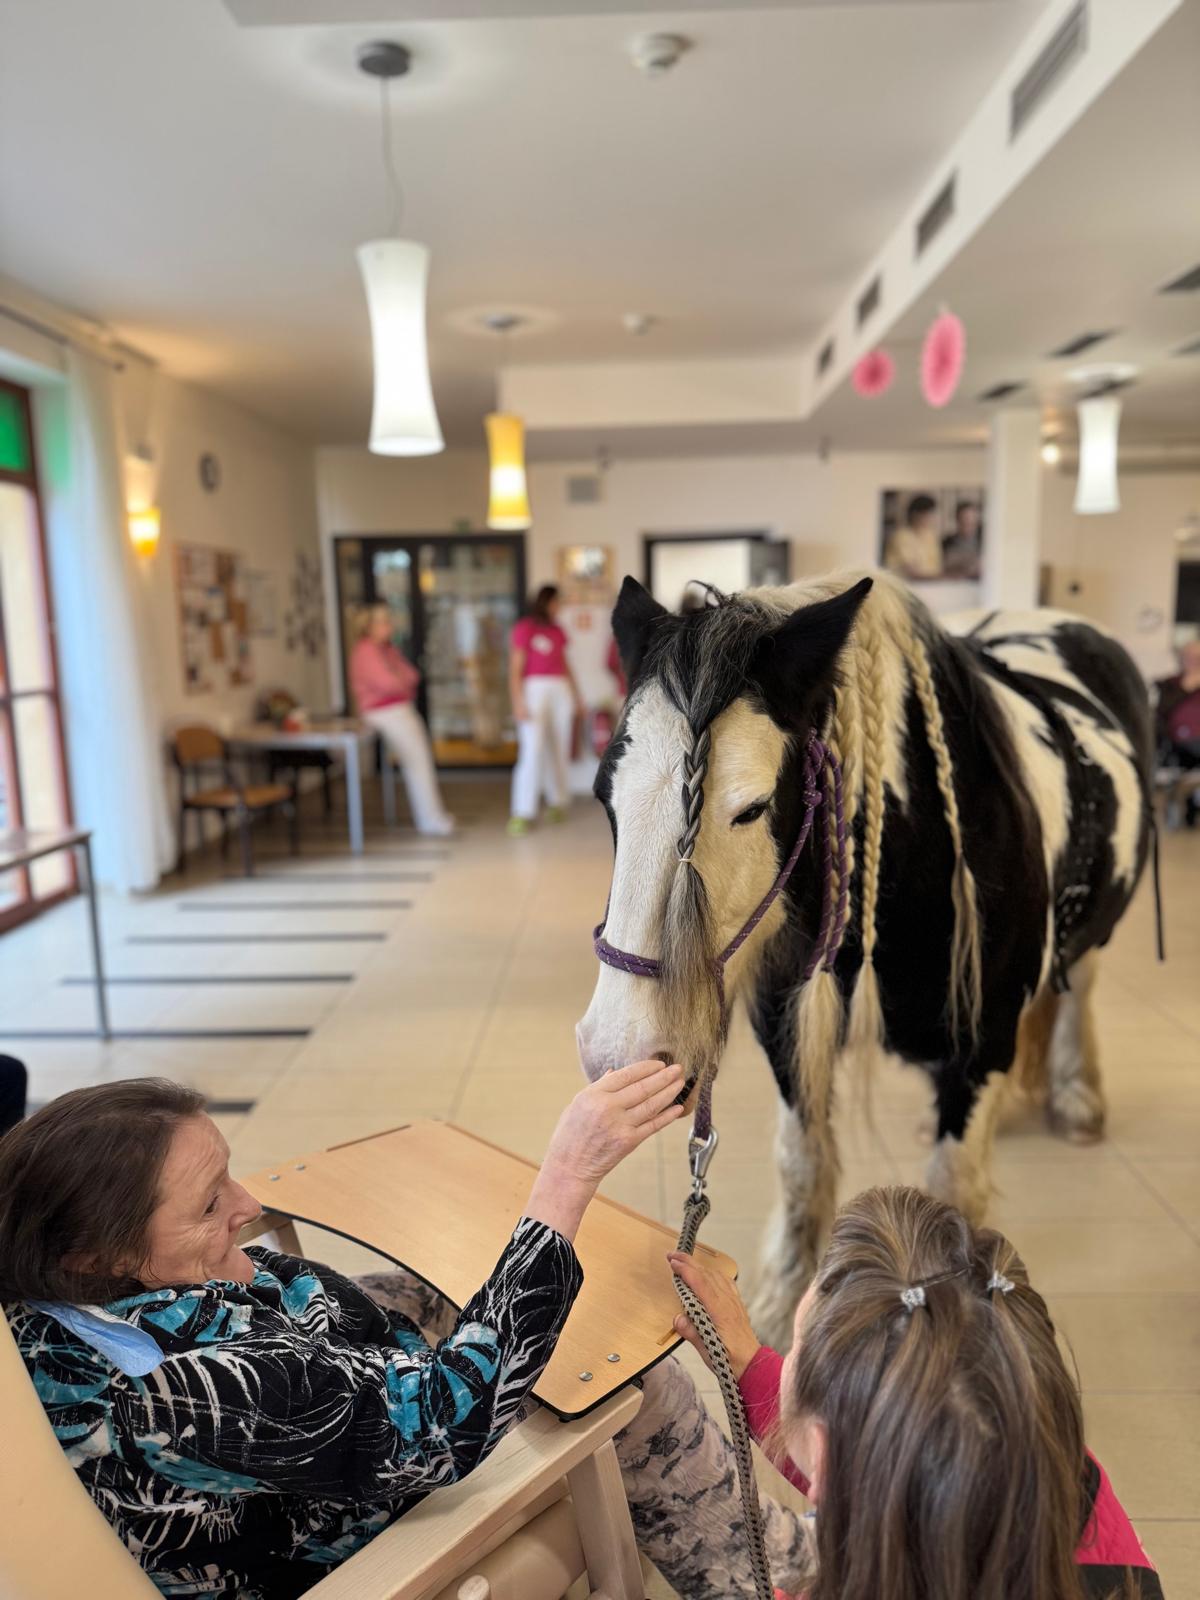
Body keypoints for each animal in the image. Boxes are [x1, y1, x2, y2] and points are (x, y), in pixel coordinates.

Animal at [576, 569, 1153, 1347]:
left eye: (751, 808)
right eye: (605, 797)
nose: (619, 1056)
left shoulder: (980, 1050)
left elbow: (952, 1193)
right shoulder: (787, 1032)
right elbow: (802, 1167)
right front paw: (777, 1313)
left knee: (1078, 988)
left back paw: (1077, 1096)